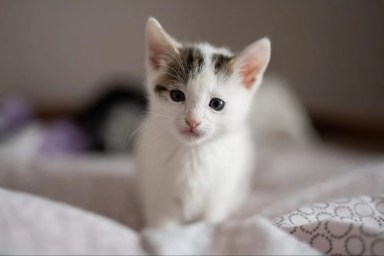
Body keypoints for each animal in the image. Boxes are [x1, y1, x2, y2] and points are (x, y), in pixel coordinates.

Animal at [136, 18, 272, 229]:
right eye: (177, 96)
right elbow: (163, 225)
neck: (193, 153)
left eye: (217, 104)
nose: (192, 120)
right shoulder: (158, 193)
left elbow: (209, 221)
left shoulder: (219, 195)